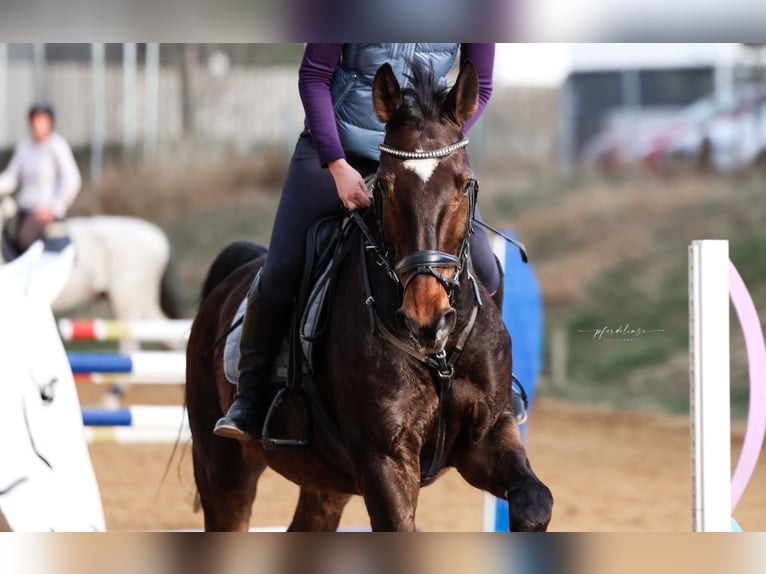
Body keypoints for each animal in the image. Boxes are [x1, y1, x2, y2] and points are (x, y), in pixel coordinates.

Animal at [188, 60, 556, 532]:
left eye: (464, 184)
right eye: (385, 185)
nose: (425, 319)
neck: (438, 356)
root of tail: (226, 286)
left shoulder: (486, 438)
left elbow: (535, 503)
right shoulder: (385, 460)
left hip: (326, 480)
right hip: (223, 467)